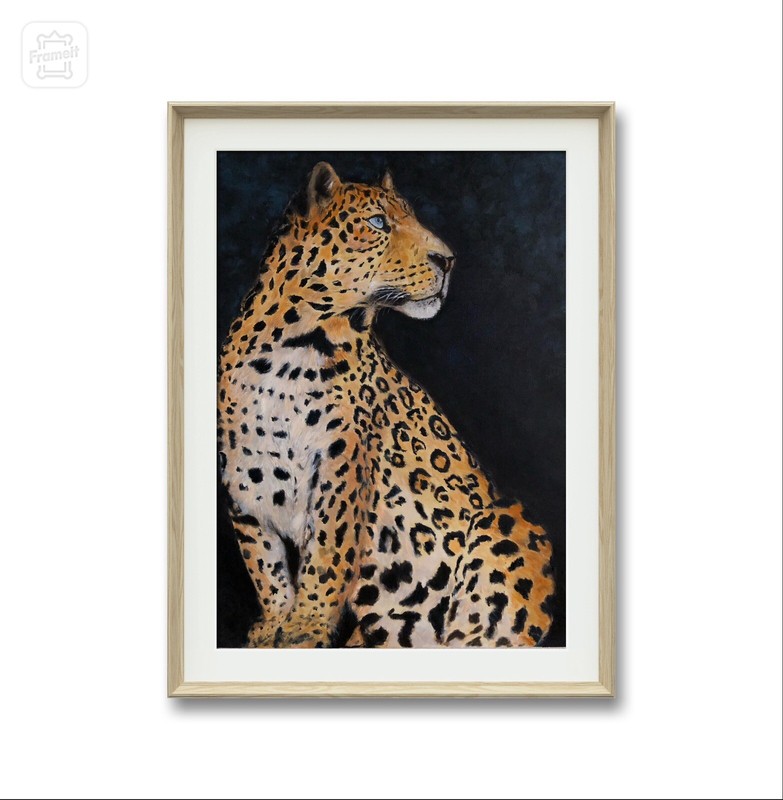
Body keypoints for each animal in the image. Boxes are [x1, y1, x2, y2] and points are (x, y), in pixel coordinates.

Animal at [217, 162, 555, 648]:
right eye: (378, 223)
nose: (447, 260)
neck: (288, 349)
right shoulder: (241, 470)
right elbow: (261, 557)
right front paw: (276, 621)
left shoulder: (342, 457)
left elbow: (328, 550)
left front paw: (306, 626)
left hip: (506, 525)